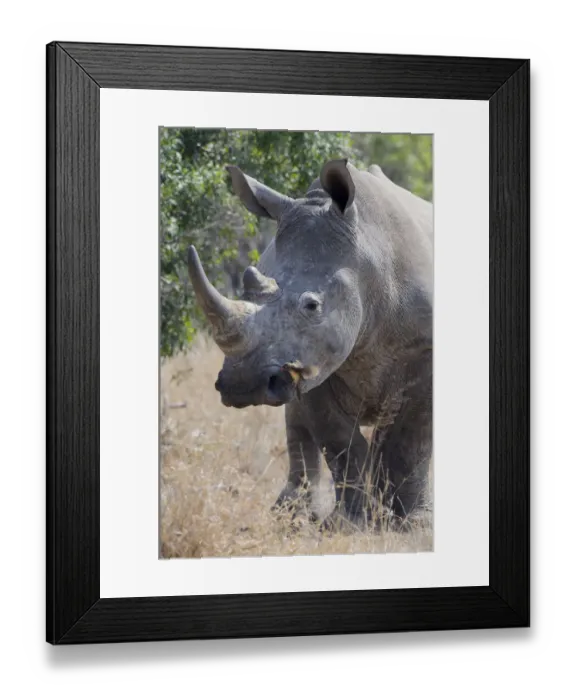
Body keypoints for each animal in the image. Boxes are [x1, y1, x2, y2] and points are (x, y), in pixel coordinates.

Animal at [187, 159, 433, 526]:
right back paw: (292, 514)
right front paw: (350, 523)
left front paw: (408, 525)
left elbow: (410, 441)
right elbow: (340, 443)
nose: (242, 384)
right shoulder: (311, 362)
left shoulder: (426, 350)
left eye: (312, 306)